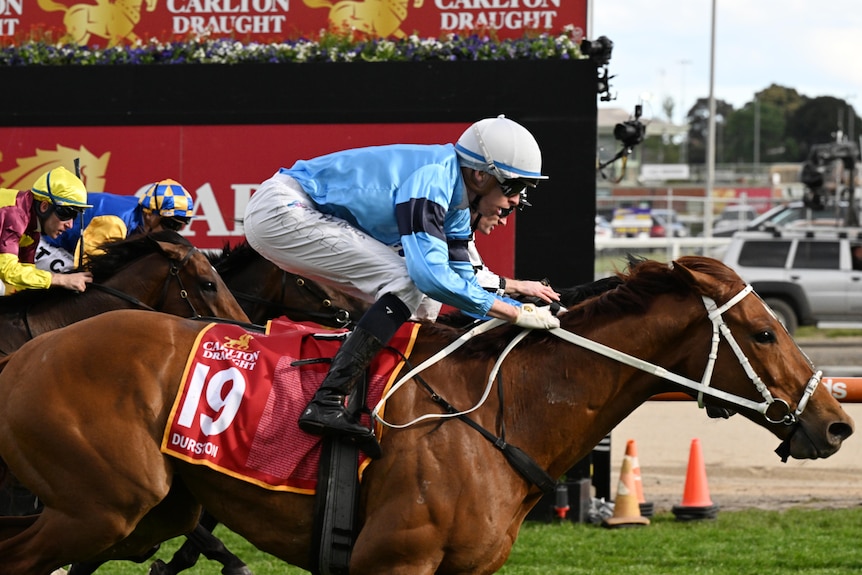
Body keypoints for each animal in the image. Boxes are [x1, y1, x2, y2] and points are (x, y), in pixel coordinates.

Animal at [0, 258, 852, 575]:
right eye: (765, 331)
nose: (836, 421)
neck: (508, 409)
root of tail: (23, 357)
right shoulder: (392, 560)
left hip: (148, 512)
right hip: (102, 505)